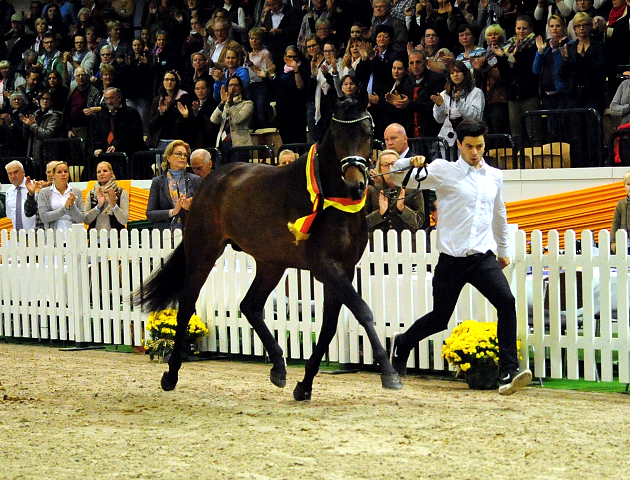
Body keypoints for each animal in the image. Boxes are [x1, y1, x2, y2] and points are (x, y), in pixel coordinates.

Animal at [133, 95, 404, 400]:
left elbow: (328, 326)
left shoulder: (343, 268)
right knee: (187, 307)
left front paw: (304, 385)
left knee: (250, 306)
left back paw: (278, 367)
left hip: (271, 263)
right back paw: (171, 374)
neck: (333, 204)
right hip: (203, 252)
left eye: (368, 133)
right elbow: (362, 310)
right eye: (336, 135)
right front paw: (389, 374)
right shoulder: (325, 267)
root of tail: (212, 180)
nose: (355, 184)